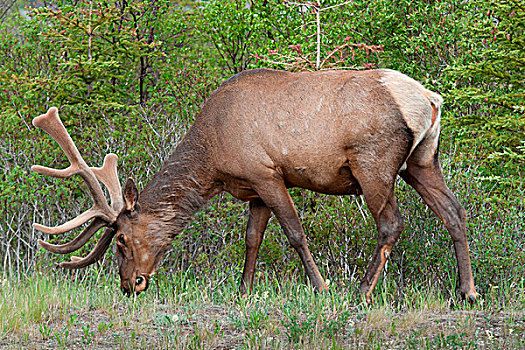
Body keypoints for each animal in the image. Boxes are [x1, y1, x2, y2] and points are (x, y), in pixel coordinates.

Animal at [30, 69, 476, 304]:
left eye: (122, 239)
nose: (130, 285)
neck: (212, 158)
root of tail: (429, 99)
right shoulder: (252, 189)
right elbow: (252, 238)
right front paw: (244, 291)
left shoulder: (266, 172)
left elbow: (294, 232)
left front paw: (321, 286)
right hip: (422, 160)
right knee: (454, 211)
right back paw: (467, 291)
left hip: (374, 162)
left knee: (391, 223)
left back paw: (361, 291)